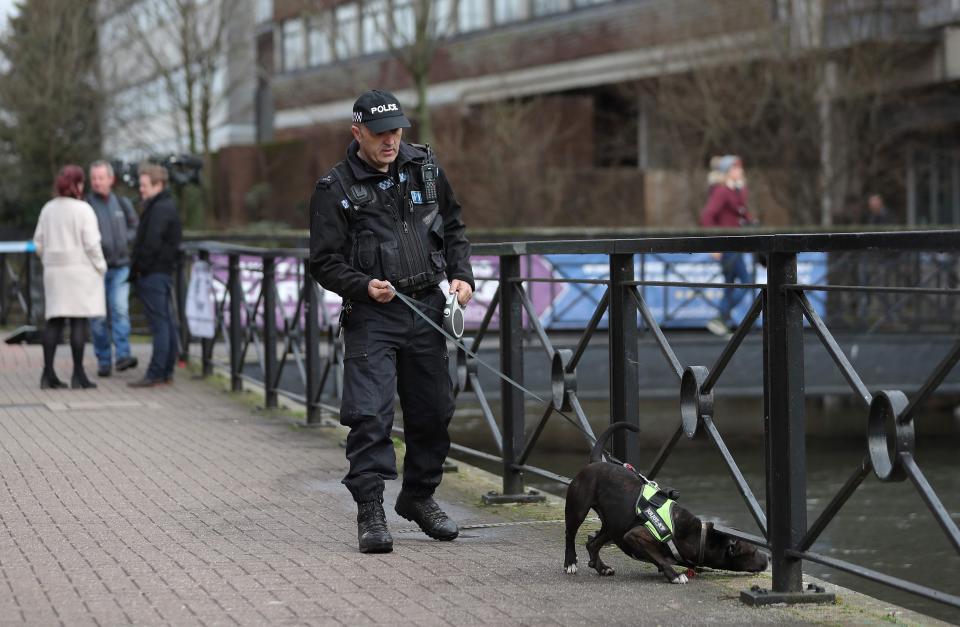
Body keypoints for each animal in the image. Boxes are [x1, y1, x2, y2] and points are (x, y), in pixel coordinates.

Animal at [568, 422, 768, 584]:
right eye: (753, 551)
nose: (768, 558)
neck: (699, 537)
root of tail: (595, 462)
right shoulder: (636, 535)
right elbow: (661, 559)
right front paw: (675, 575)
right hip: (578, 510)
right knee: (570, 535)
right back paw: (570, 562)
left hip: (613, 525)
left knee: (593, 544)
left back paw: (601, 567)